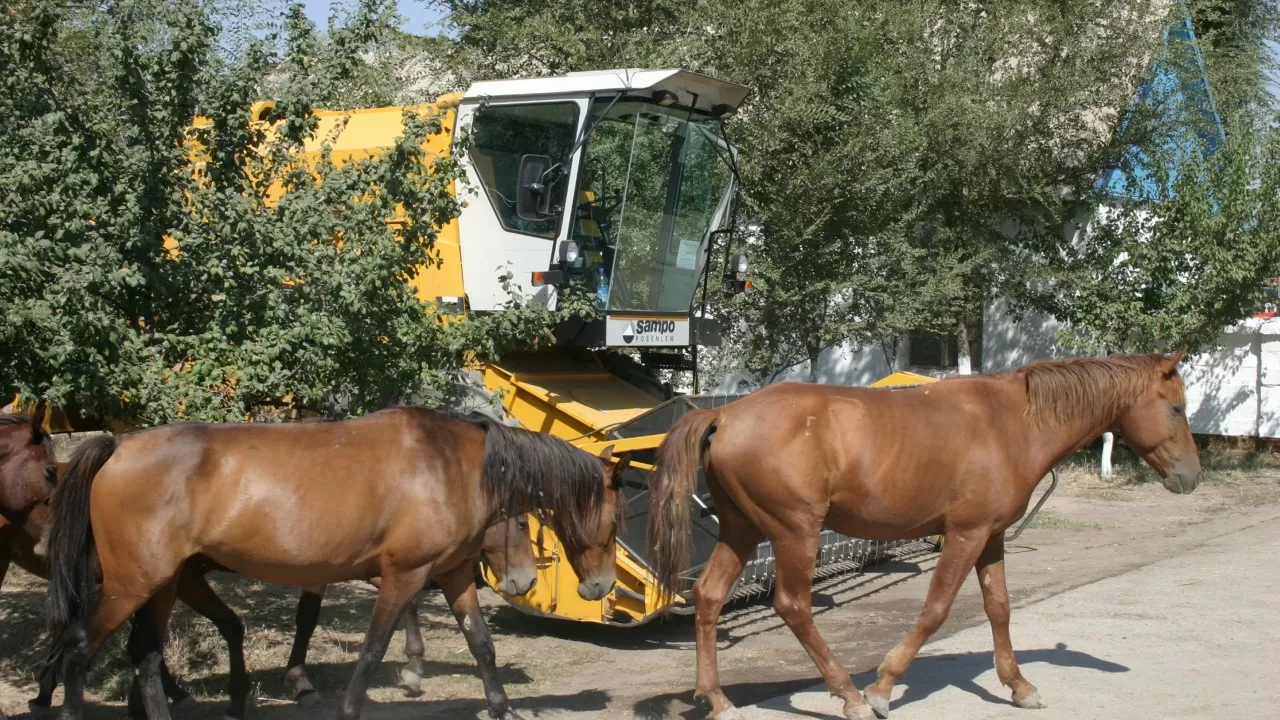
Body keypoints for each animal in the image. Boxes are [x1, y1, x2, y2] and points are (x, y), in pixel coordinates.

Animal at [47, 407, 627, 717]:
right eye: (617, 521)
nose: (600, 588)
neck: (447, 464)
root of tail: (117, 445)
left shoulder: (453, 574)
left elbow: (481, 645)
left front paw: (501, 705)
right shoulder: (404, 574)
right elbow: (372, 651)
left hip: (163, 584)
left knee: (144, 657)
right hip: (131, 585)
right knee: (79, 647)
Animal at [650, 353, 1198, 717]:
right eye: (1176, 408)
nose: (1192, 477)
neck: (1011, 422)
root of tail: (725, 414)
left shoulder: (991, 538)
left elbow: (999, 607)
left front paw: (1018, 685)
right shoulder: (965, 535)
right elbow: (936, 609)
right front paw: (882, 688)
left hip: (742, 530)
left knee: (709, 595)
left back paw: (718, 699)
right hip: (794, 532)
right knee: (793, 605)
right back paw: (848, 693)